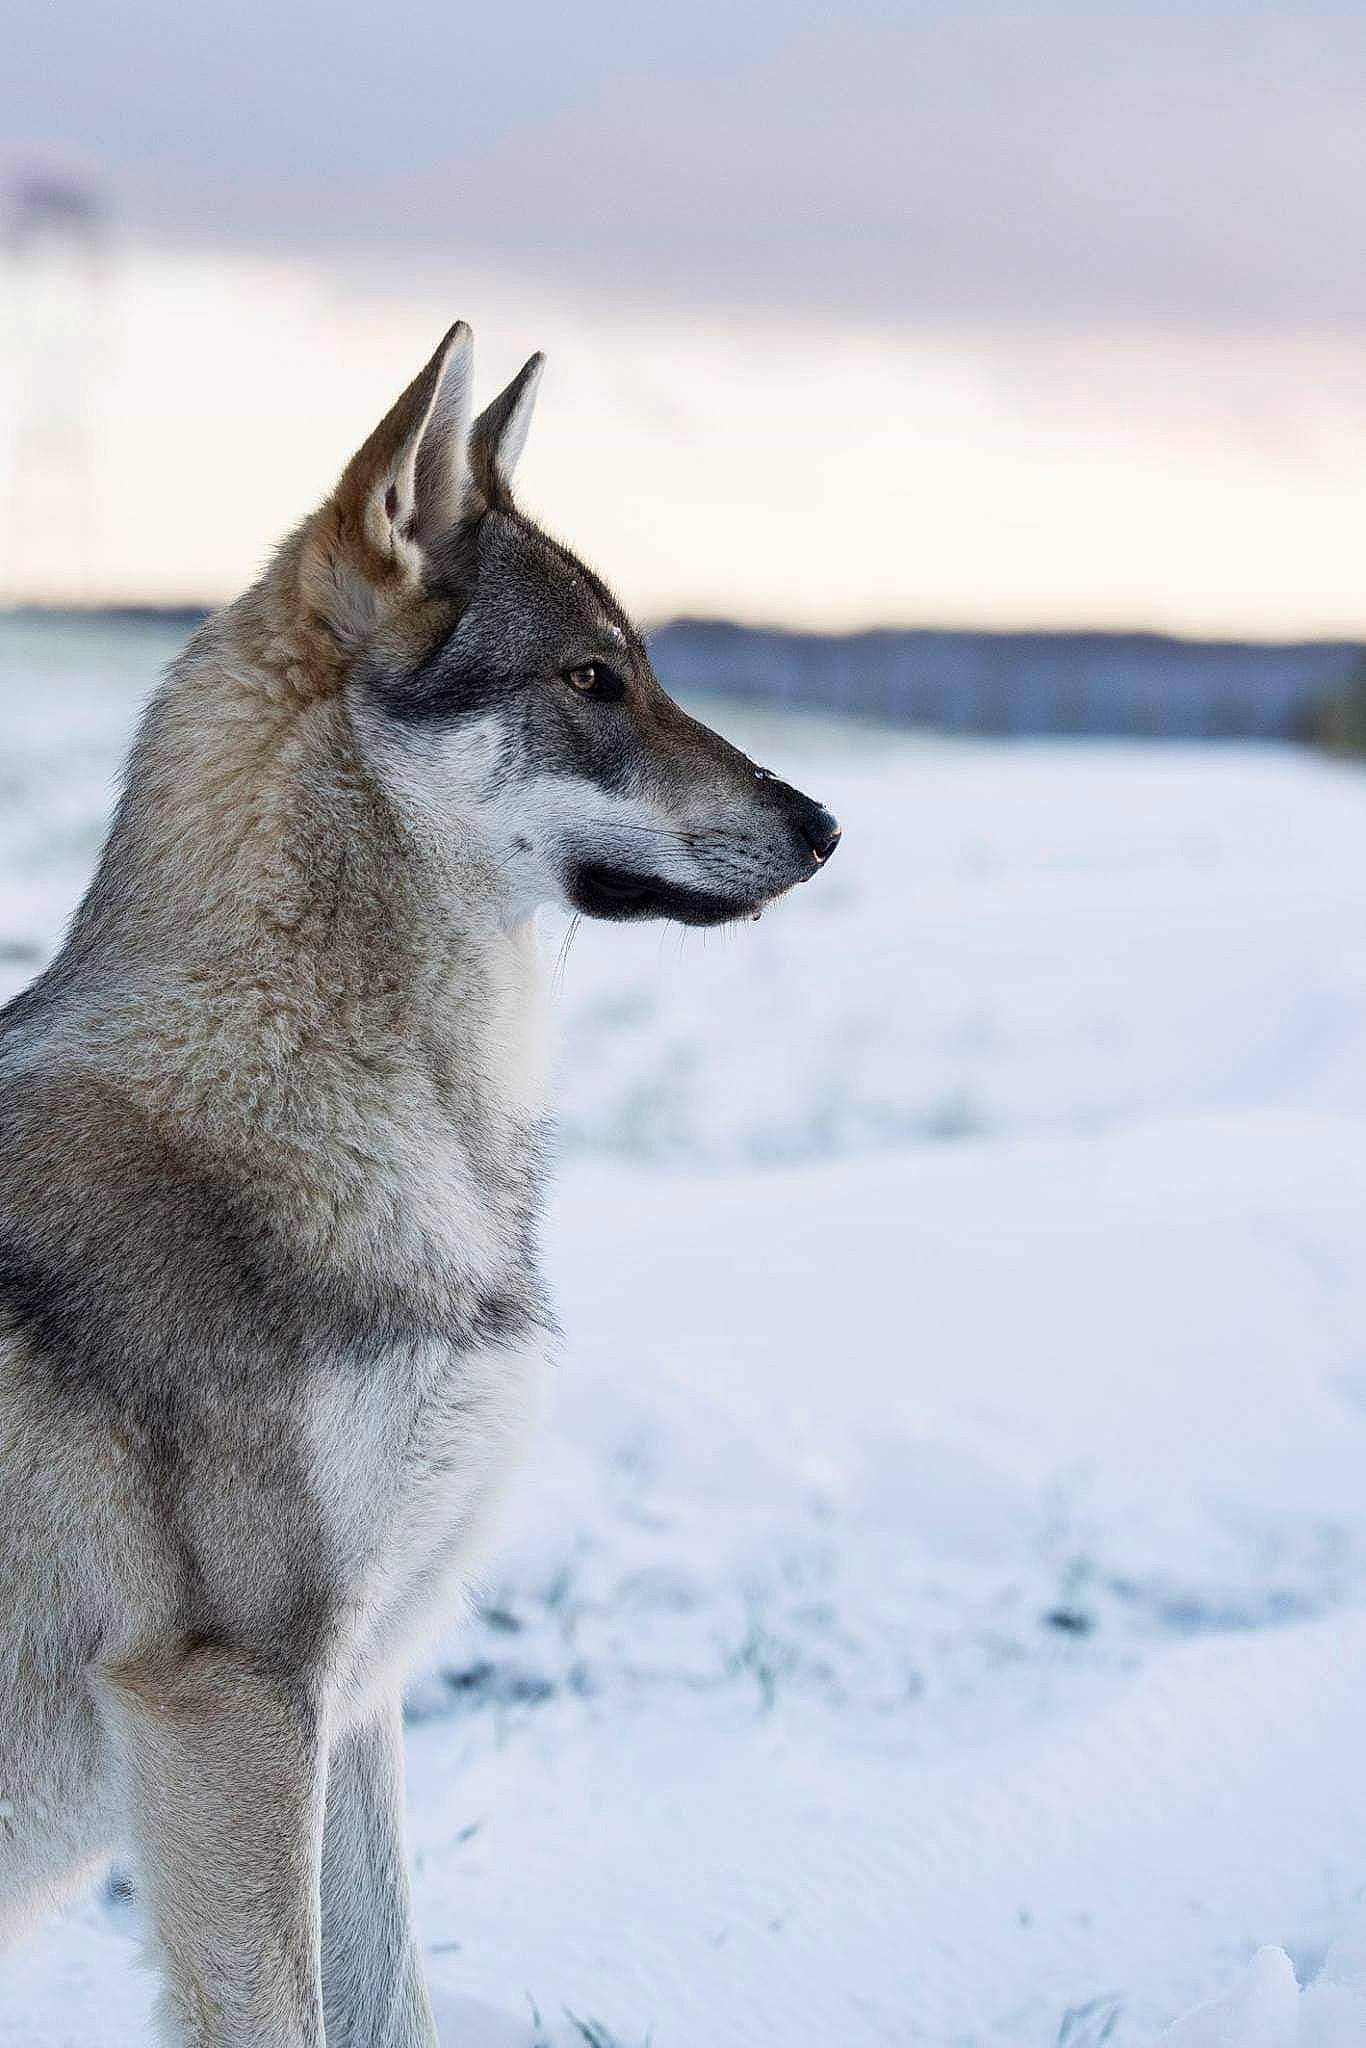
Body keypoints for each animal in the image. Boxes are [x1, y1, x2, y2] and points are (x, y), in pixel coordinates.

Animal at [0, 323, 840, 2045]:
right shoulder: (231, 1694)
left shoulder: (353, 1695)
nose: (823, 826)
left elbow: (393, 2009)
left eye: (642, 668)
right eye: (591, 679)